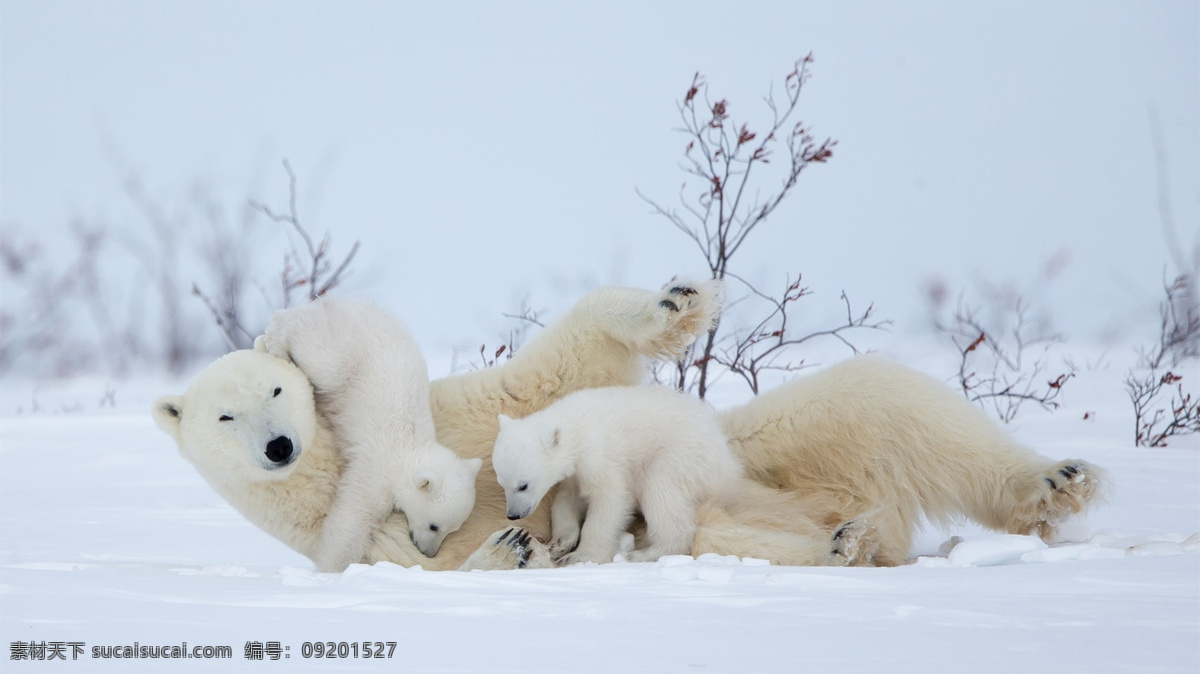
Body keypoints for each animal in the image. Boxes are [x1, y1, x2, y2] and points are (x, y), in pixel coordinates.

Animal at [254, 297, 482, 570]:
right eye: (434, 526)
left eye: (453, 529)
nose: (428, 552)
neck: (411, 447)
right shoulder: (378, 469)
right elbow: (353, 516)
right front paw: (333, 568)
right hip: (343, 353)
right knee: (315, 354)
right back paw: (276, 341)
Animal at [492, 385, 743, 565]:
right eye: (501, 483)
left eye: (522, 485)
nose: (513, 515)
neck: (577, 427)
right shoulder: (575, 473)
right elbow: (566, 499)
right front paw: (560, 543)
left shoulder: (602, 456)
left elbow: (611, 500)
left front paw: (581, 556)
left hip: (682, 457)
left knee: (660, 492)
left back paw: (643, 554)